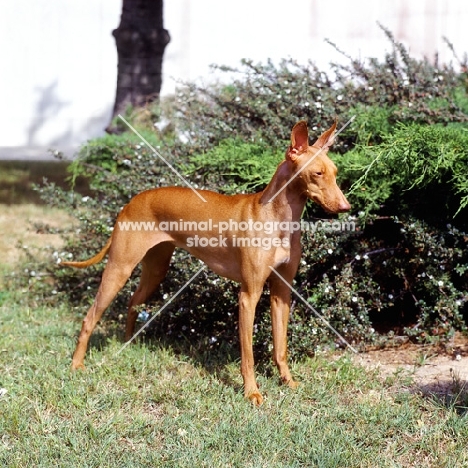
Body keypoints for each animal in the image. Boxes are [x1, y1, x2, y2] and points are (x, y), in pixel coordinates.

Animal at [61, 121, 348, 406]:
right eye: (318, 173)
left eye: (335, 173)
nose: (346, 207)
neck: (277, 218)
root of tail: (131, 201)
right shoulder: (249, 295)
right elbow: (248, 355)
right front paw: (252, 392)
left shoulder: (281, 292)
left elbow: (281, 346)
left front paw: (287, 381)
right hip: (119, 269)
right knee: (89, 318)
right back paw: (76, 365)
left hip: (155, 270)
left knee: (133, 302)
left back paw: (128, 343)